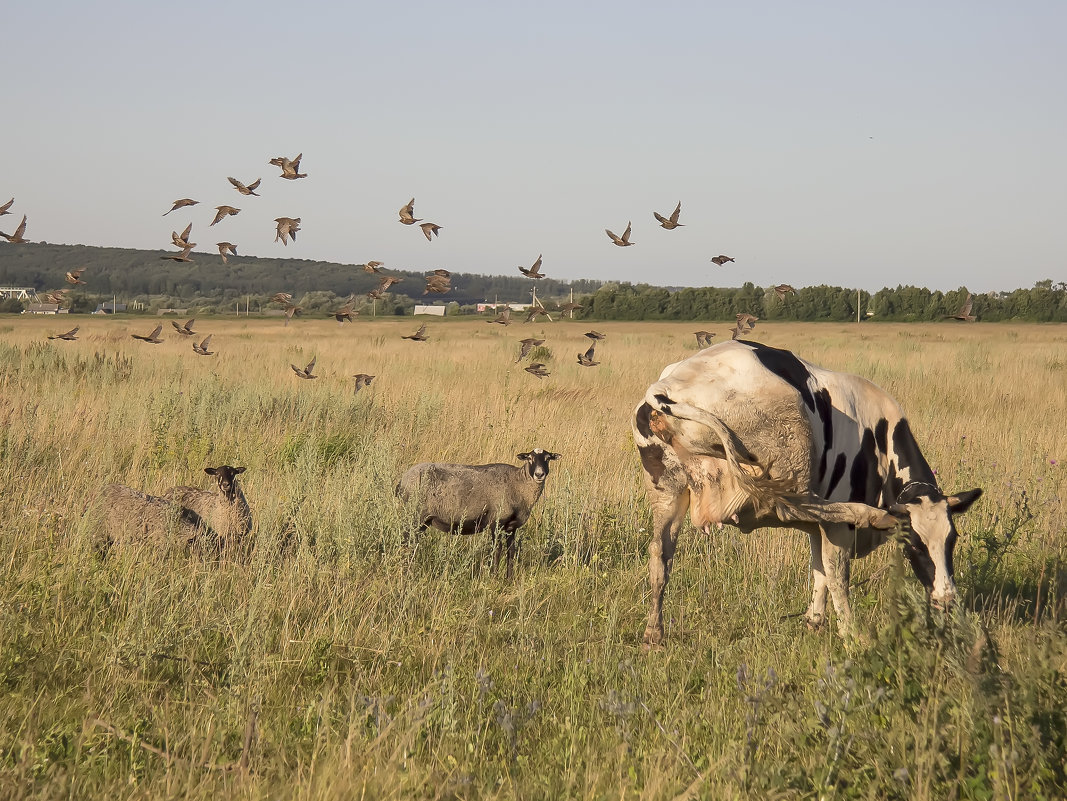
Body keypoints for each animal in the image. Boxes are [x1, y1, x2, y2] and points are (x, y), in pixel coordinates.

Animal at [399, 452, 563, 575]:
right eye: (530, 458)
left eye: (548, 458)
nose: (539, 474)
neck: (517, 484)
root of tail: (402, 481)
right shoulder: (496, 522)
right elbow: (497, 550)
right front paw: (494, 577)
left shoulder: (511, 527)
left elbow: (511, 552)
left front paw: (509, 579)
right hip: (415, 516)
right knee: (406, 542)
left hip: (422, 520)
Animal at [631, 339, 981, 644]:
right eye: (916, 546)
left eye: (952, 541)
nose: (947, 599)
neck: (880, 441)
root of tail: (666, 388)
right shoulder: (837, 527)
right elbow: (837, 574)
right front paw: (851, 635)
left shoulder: (819, 530)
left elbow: (820, 570)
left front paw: (814, 621)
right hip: (791, 445)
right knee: (796, 505)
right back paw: (871, 515)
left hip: (668, 489)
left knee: (660, 553)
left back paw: (653, 633)